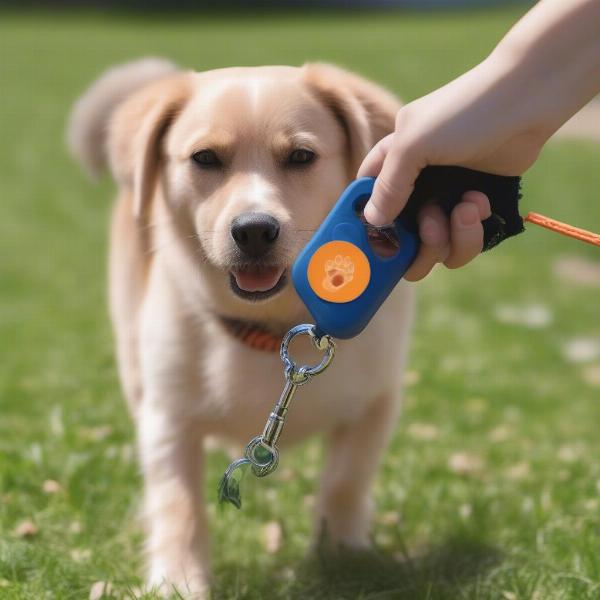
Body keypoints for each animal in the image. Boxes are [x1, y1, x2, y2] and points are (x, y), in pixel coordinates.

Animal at [65, 57, 412, 600]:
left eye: (300, 156)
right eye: (205, 158)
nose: (253, 230)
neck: (274, 330)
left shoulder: (375, 405)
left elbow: (345, 481)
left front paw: (342, 559)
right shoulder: (167, 420)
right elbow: (178, 503)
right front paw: (177, 579)